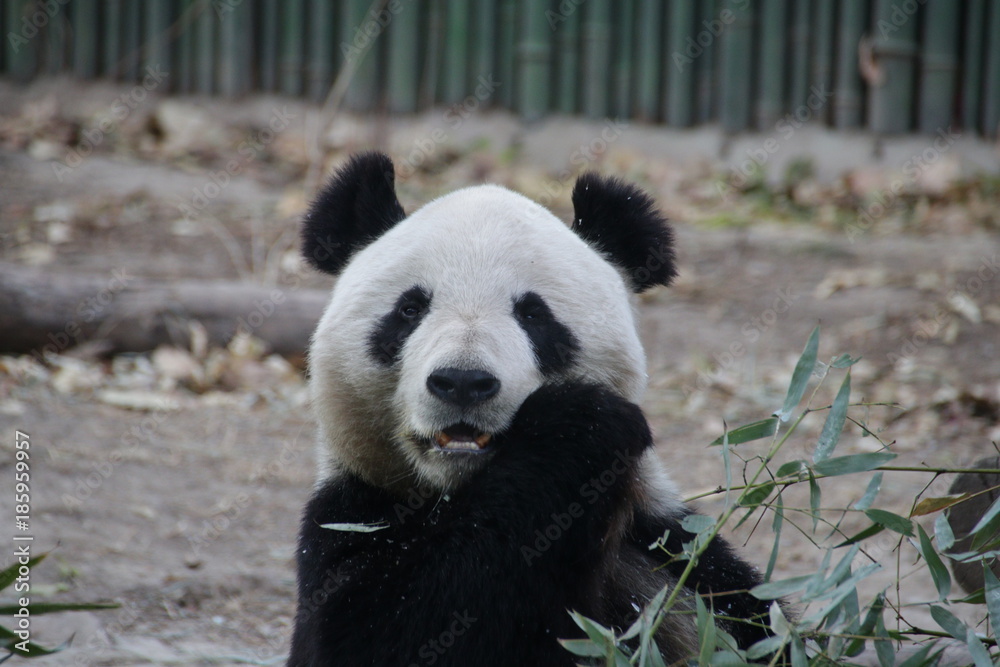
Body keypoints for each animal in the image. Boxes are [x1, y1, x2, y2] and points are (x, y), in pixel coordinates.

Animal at [288, 152, 774, 666]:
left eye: (534, 314)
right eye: (409, 309)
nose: (463, 382)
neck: (459, 494)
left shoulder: (666, 555)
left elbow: (745, 624)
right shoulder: (351, 518)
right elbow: (394, 627)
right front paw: (577, 425)